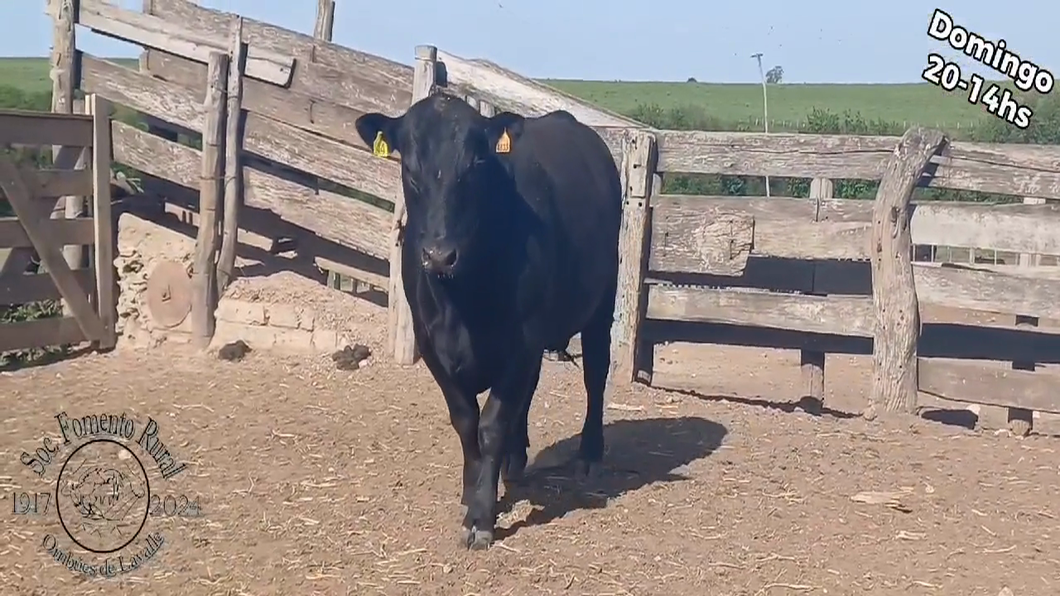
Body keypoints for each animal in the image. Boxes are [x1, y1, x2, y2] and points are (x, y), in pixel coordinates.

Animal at [356, 93, 619, 547]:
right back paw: (515, 458)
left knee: (595, 376)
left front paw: (481, 517)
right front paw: (474, 488)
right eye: (409, 166)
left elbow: (492, 424)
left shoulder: (521, 343)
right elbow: (466, 420)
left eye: (476, 163)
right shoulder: (431, 343)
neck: (460, 302)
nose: (440, 255)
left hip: (601, 303)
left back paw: (588, 453)